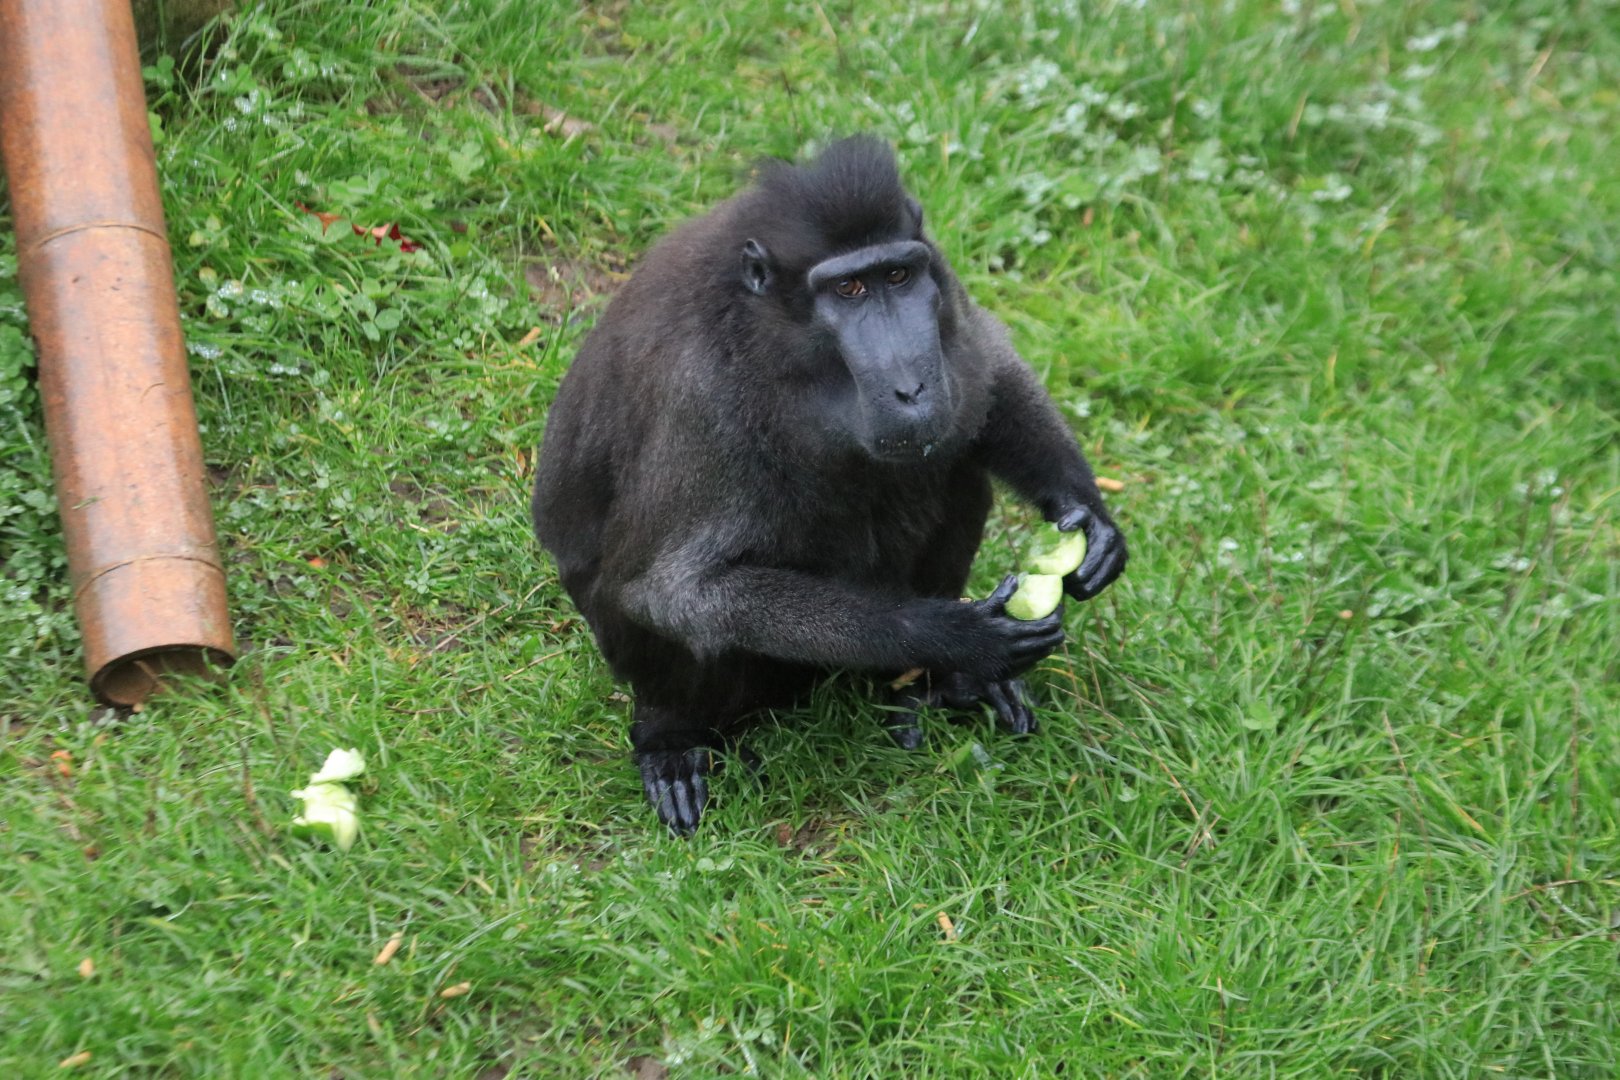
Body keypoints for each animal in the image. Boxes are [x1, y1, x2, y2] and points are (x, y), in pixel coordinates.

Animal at [533, 136, 1126, 834]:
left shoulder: (941, 281)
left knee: (955, 467)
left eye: (897, 277)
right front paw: (954, 635)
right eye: (847, 287)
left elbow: (987, 367)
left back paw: (941, 682)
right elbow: (670, 588)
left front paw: (1088, 514)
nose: (912, 388)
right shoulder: (701, 393)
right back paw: (670, 738)